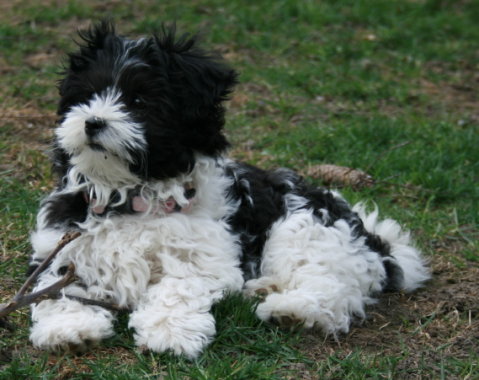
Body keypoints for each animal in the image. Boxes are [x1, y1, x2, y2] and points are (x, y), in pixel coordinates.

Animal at [28, 22, 430, 358]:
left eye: (139, 102)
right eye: (88, 96)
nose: (93, 122)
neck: (134, 193)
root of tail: (376, 240)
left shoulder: (205, 257)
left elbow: (179, 286)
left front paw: (170, 333)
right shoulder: (63, 246)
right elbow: (58, 285)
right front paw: (69, 327)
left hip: (305, 228)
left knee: (329, 284)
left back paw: (291, 309)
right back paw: (266, 288)